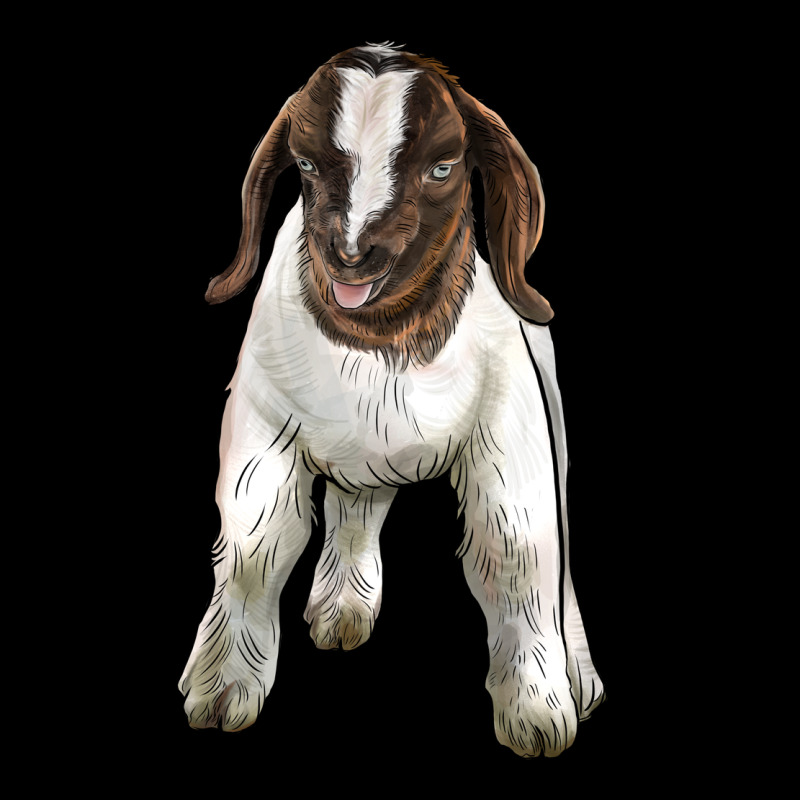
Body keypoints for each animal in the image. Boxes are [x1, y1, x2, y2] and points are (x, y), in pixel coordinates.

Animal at [179, 43, 605, 757]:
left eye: (442, 167)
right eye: (305, 164)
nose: (351, 255)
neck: (381, 338)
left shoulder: (512, 433)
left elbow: (518, 551)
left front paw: (535, 704)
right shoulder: (259, 431)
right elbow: (255, 549)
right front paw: (222, 682)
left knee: (559, 547)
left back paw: (578, 670)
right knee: (357, 503)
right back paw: (343, 604)